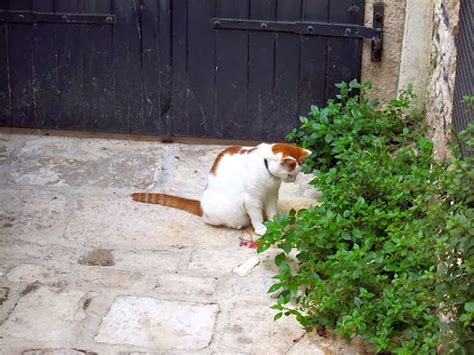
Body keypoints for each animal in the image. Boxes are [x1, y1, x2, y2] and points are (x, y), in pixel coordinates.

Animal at [132, 142, 312, 236]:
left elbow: (272, 211)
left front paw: (276, 223)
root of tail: (201, 206)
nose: (294, 180)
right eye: (291, 174)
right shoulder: (252, 199)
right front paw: (261, 227)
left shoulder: (272, 196)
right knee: (212, 220)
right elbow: (256, 216)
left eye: (296, 175)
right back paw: (238, 225)